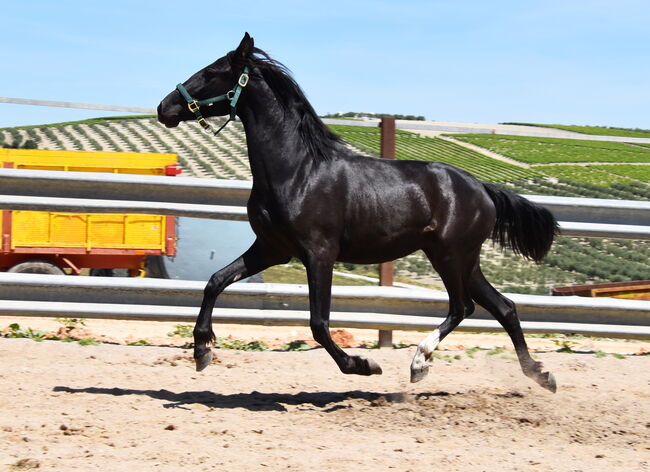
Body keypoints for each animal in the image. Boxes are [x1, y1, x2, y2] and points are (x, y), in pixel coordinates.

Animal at [158, 33, 556, 392]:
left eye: (212, 72)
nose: (164, 107)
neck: (296, 171)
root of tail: (483, 189)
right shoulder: (272, 249)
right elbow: (215, 281)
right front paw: (201, 352)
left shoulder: (319, 254)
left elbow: (318, 322)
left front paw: (363, 365)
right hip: (464, 260)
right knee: (503, 307)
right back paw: (541, 376)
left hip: (450, 255)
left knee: (463, 307)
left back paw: (419, 363)